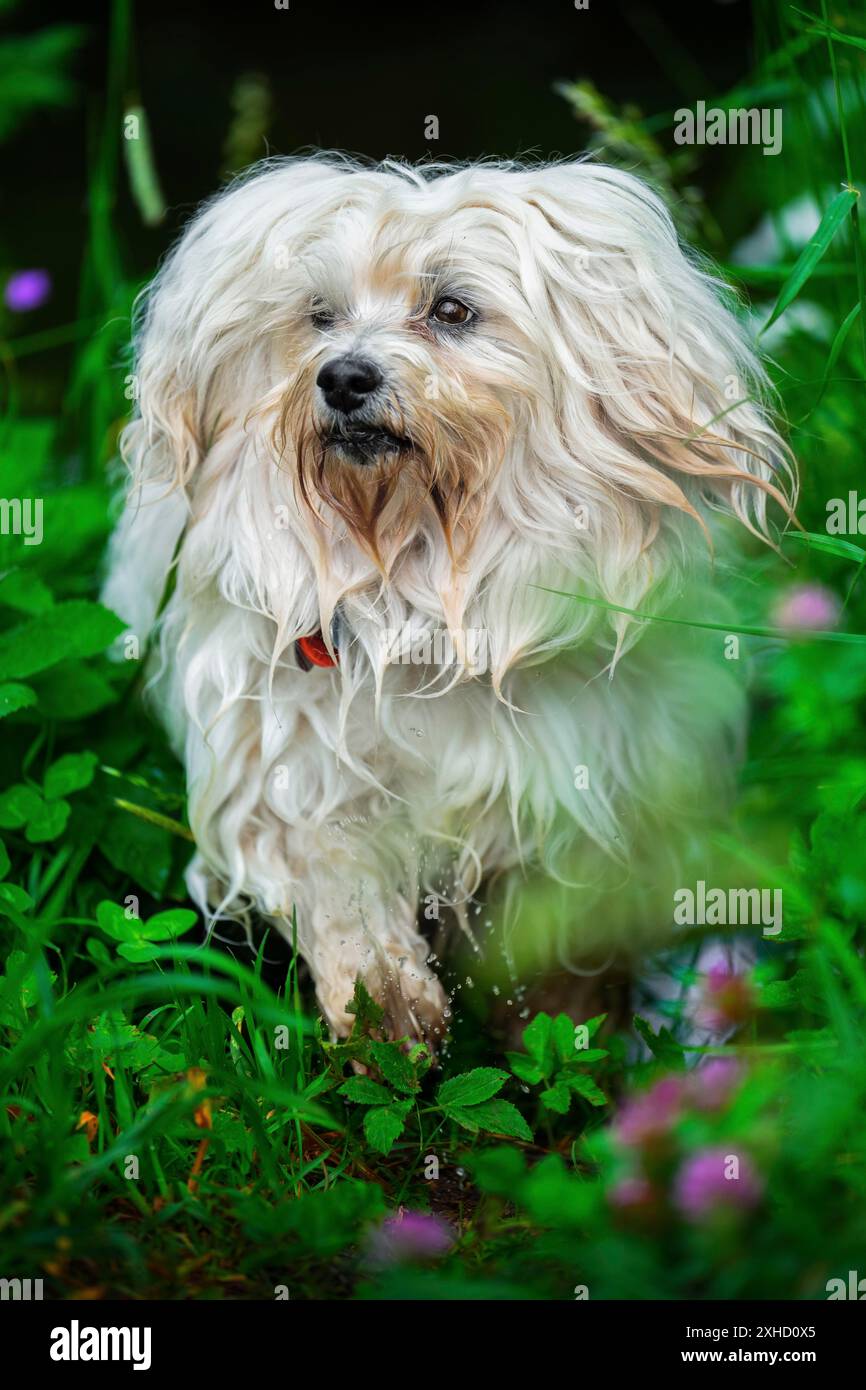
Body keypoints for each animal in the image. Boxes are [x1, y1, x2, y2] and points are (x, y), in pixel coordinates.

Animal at [100, 152, 795, 1045]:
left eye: (452, 309)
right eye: (319, 315)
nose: (343, 375)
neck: (423, 588)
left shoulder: (583, 800)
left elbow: (560, 957)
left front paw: (568, 1034)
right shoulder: (289, 765)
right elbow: (337, 881)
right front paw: (383, 1003)